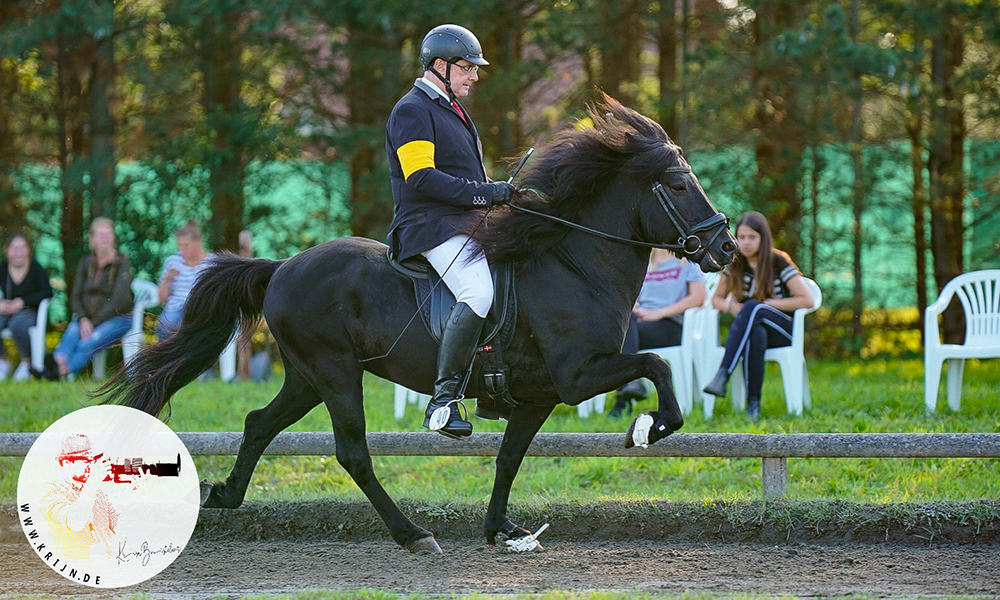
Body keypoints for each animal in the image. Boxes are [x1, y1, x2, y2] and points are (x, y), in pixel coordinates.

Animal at [99, 95, 736, 552]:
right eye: (679, 185)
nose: (726, 248)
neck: (572, 262)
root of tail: (282, 267)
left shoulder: (541, 394)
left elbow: (509, 458)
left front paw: (501, 530)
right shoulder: (579, 375)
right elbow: (655, 365)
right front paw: (653, 427)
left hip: (307, 376)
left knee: (259, 424)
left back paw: (224, 496)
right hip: (335, 374)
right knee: (352, 452)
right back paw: (412, 534)